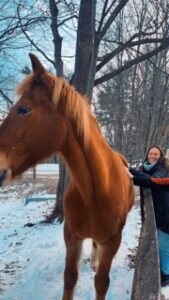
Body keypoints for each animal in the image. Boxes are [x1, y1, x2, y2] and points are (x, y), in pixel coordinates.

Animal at [0, 54, 135, 300]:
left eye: (23, 109)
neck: (96, 191)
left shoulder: (114, 241)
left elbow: (102, 282)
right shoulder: (71, 236)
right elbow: (70, 278)